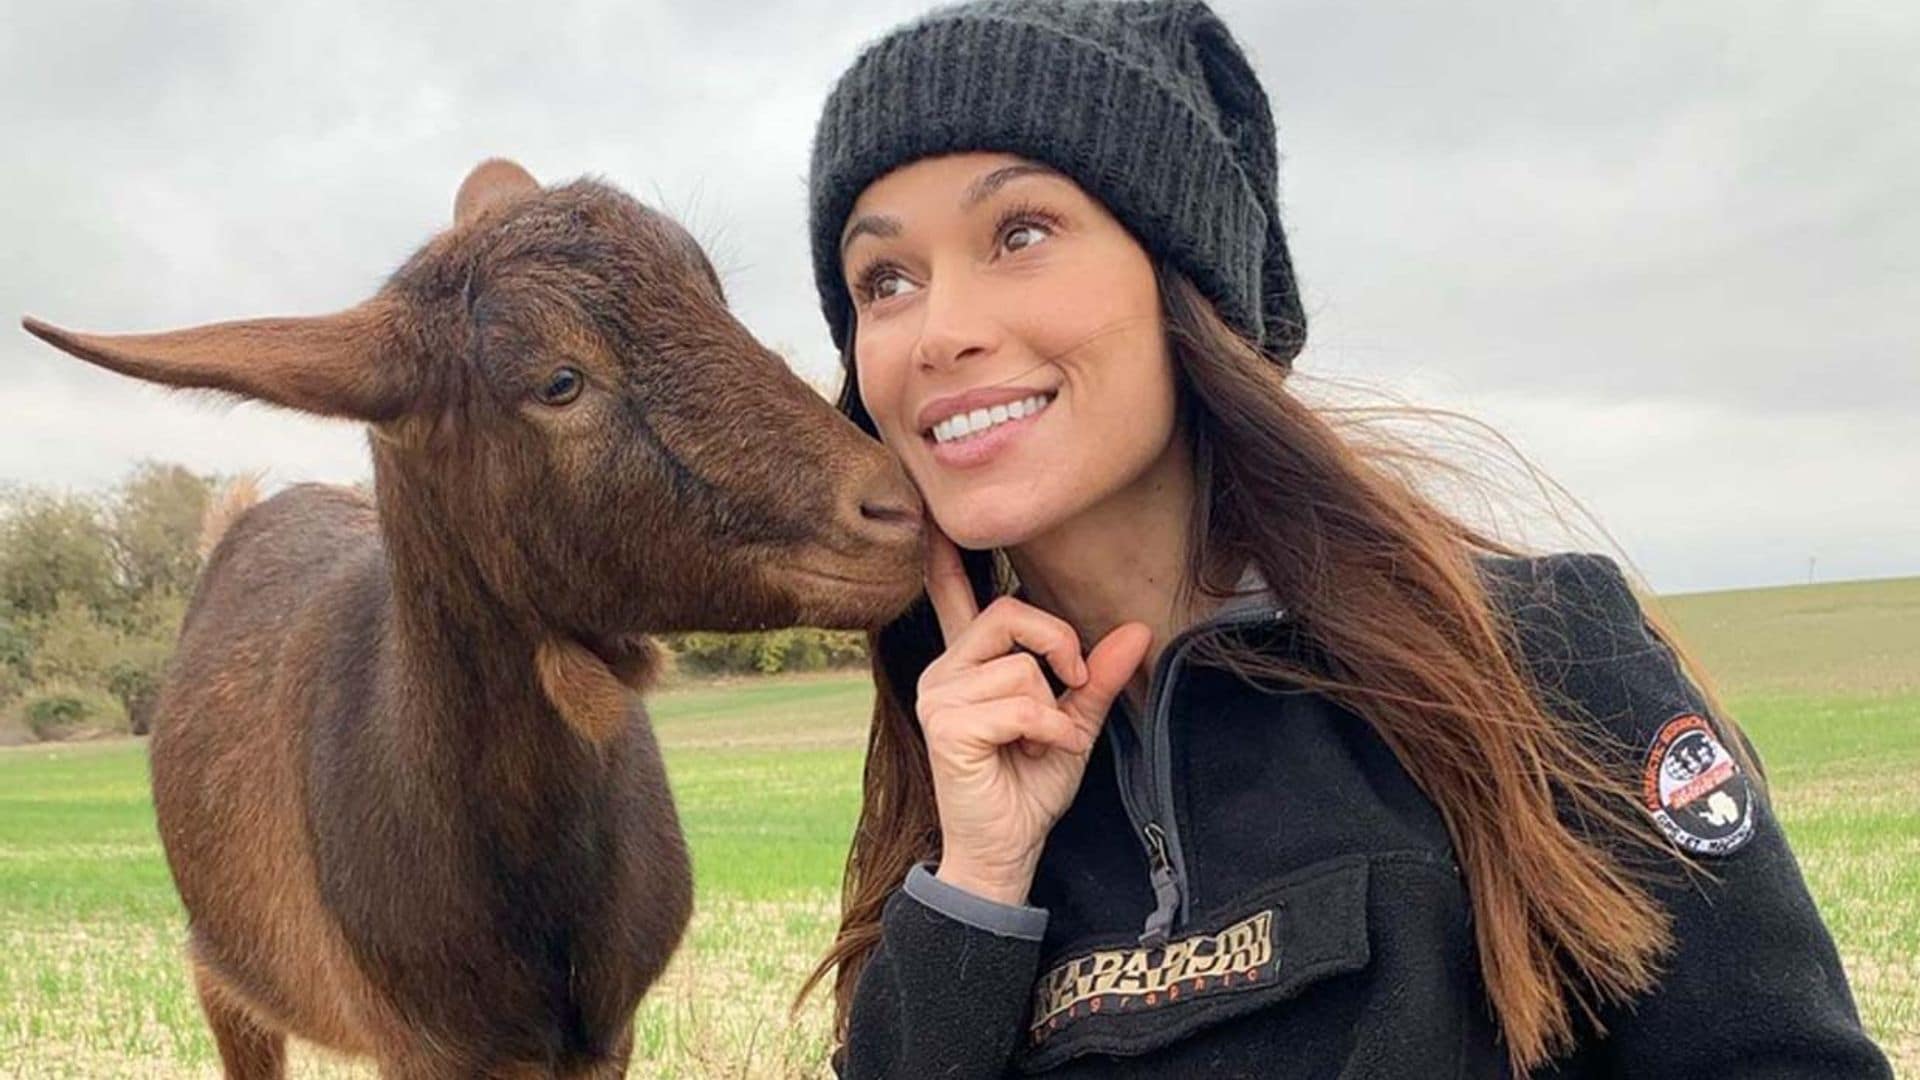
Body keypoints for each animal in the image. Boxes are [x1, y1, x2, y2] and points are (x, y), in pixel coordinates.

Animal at [20, 159, 921, 1076]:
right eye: (559, 381)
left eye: (714, 299)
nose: (893, 511)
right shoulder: (418, 1043)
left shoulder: (609, 1033)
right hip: (224, 972)